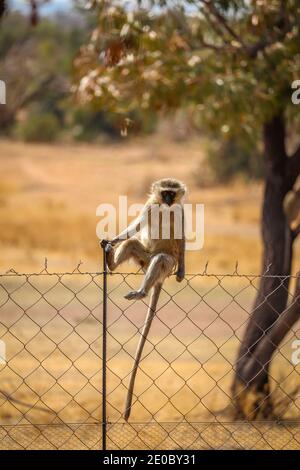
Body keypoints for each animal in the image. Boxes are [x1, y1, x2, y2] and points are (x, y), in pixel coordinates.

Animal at [104, 178, 186, 420]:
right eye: (164, 192)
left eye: (172, 194)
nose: (167, 200)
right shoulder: (150, 206)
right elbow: (137, 227)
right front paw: (113, 239)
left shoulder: (180, 211)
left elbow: (182, 237)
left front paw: (183, 271)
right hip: (144, 257)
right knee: (132, 243)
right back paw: (112, 263)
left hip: (165, 264)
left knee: (161, 259)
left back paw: (143, 291)